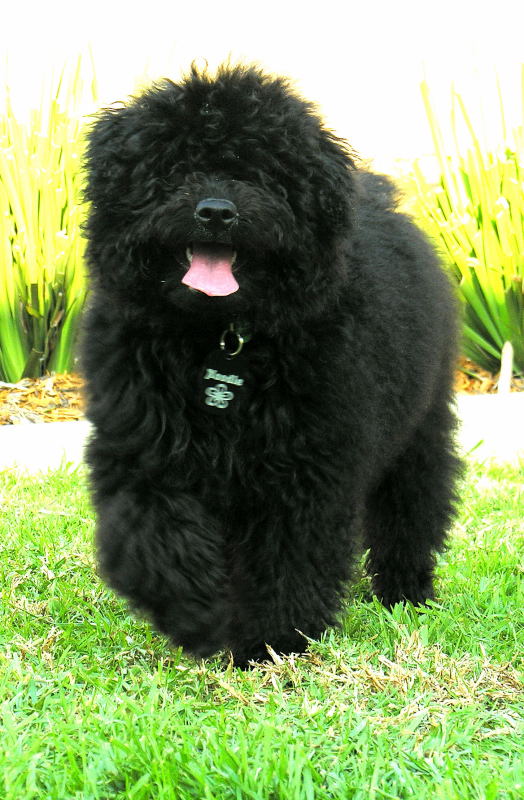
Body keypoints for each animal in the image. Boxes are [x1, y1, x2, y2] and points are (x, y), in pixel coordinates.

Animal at [82, 64, 462, 666]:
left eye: (260, 173)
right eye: (177, 166)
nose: (216, 212)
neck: (220, 336)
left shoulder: (307, 460)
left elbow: (289, 554)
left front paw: (272, 640)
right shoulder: (142, 444)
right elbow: (157, 535)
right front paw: (194, 614)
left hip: (419, 431)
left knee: (414, 509)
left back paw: (406, 591)